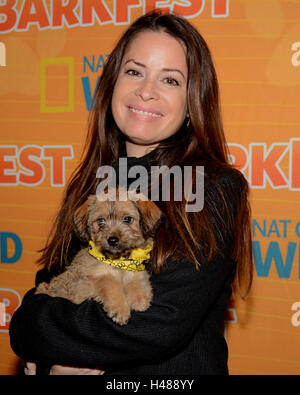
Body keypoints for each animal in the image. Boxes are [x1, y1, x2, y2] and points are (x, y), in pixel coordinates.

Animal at [36, 188, 162, 324]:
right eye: (100, 221)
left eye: (127, 219)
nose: (112, 240)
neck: (118, 261)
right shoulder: (85, 282)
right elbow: (109, 282)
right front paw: (120, 309)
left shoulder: (134, 267)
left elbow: (136, 277)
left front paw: (139, 298)